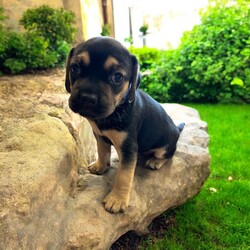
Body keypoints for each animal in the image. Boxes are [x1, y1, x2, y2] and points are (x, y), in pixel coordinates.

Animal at [65, 36, 185, 214]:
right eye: (74, 68)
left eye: (117, 77)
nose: (87, 97)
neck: (114, 111)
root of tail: (177, 129)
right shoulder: (99, 136)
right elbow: (102, 152)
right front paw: (101, 166)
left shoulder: (128, 147)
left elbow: (124, 175)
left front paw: (117, 200)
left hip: (164, 147)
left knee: (167, 155)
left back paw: (155, 161)